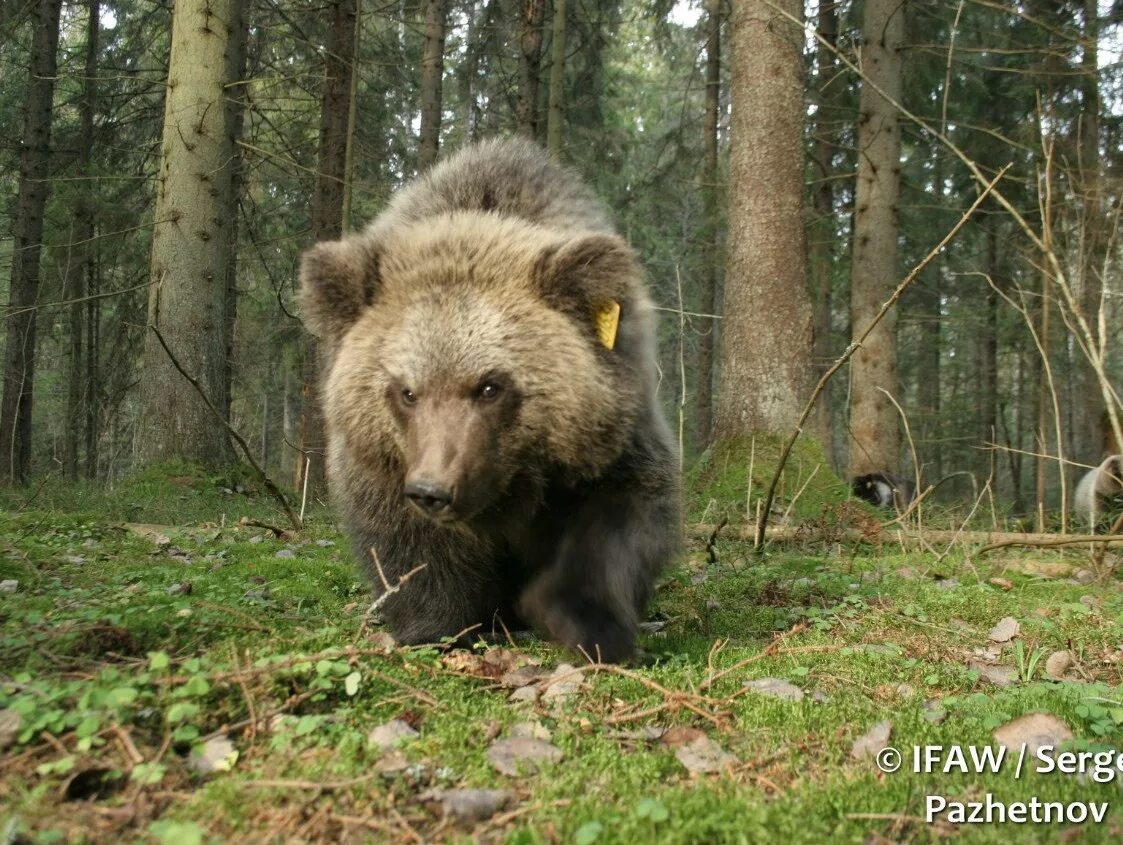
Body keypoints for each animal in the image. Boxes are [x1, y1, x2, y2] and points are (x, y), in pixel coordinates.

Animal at [298, 138, 678, 665]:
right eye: (406, 391)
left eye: (489, 386)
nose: (433, 490)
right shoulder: (382, 463)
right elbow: (411, 545)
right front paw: (436, 627)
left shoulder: (612, 432)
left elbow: (620, 520)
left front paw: (587, 623)